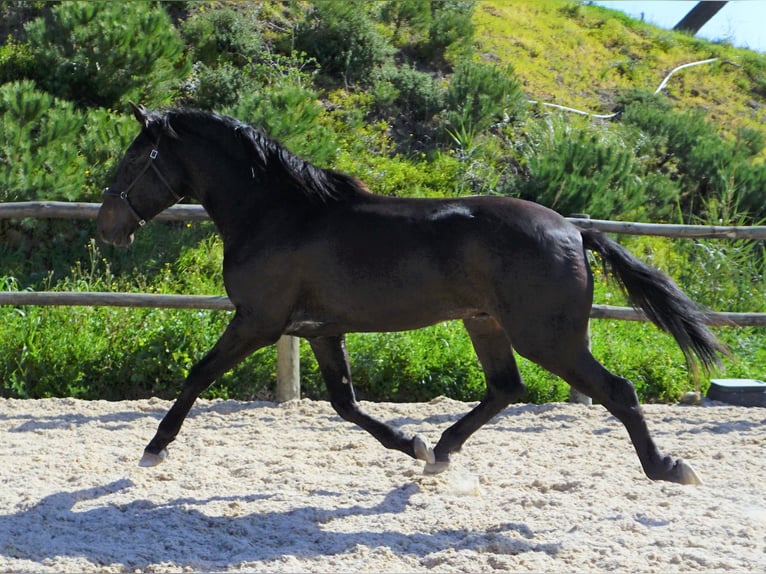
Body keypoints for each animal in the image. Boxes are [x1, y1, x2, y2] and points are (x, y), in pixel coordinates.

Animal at [96, 103, 728, 486]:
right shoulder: (319, 330)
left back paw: (669, 467)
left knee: (616, 391)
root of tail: (574, 230)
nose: (107, 227)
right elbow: (346, 404)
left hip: (547, 337)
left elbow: (198, 374)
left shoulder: (258, 321)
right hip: (485, 323)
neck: (277, 214)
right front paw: (413, 444)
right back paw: (441, 453)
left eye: (135, 157)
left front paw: (154, 448)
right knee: (505, 388)